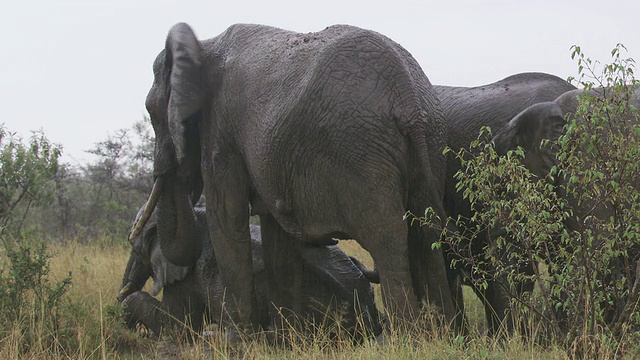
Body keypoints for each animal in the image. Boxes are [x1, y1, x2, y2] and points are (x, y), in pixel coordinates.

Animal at [130, 23, 456, 332]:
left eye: (151, 112)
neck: (202, 45)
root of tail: (407, 97)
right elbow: (276, 239)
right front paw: (286, 338)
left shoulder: (221, 130)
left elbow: (227, 222)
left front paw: (240, 341)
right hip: (431, 141)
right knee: (426, 238)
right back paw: (443, 333)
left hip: (363, 153)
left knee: (387, 241)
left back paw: (408, 337)